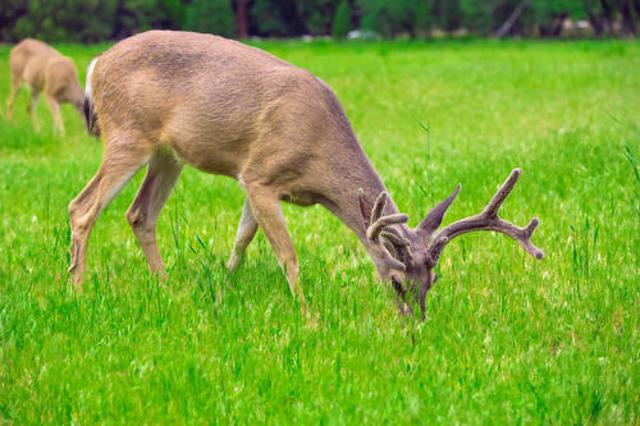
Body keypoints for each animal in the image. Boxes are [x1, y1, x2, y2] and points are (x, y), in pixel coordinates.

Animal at [70, 30, 544, 318]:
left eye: (433, 280)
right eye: (396, 282)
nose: (417, 323)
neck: (318, 156)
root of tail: (95, 65)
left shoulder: (252, 178)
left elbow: (241, 242)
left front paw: (222, 293)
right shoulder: (260, 175)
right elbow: (287, 254)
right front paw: (307, 314)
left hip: (168, 154)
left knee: (139, 214)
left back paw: (168, 290)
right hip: (129, 134)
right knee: (82, 207)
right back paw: (76, 290)